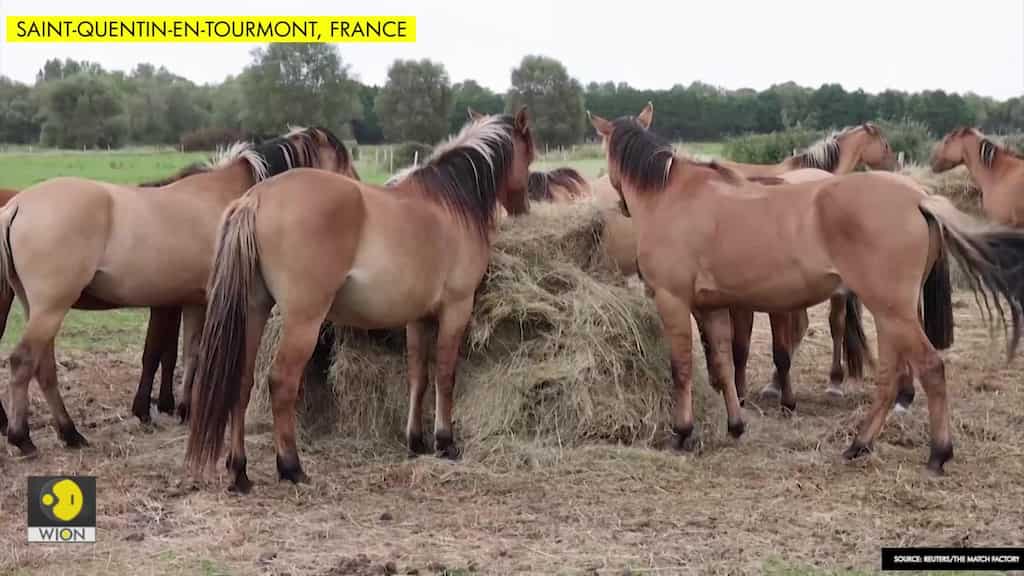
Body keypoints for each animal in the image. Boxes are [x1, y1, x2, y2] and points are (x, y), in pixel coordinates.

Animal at [0, 127, 357, 457]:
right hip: (50, 308)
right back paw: (22, 437)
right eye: (342, 161)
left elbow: (191, 352)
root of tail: (17, 204)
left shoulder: (194, 301)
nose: (361, 194)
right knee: (22, 362)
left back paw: (70, 432)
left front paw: (185, 408)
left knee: (43, 368)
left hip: (38, 309)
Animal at [184, 108, 535, 493]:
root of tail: (256, 197)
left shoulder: (418, 318)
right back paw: (291, 467)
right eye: (529, 155)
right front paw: (445, 442)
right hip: (303, 320)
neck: (447, 204)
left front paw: (416, 441)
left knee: (242, 383)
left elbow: (418, 376)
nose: (524, 208)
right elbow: (445, 375)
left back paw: (240, 471)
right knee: (281, 382)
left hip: (254, 311)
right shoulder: (456, 308)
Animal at [589, 103, 1024, 474]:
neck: (673, 195)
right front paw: (735, 424)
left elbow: (681, 369)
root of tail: (919, 198)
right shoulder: (711, 307)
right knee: (889, 377)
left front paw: (681, 433)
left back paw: (937, 453)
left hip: (892, 310)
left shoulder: (673, 301)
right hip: (889, 313)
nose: (620, 204)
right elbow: (724, 365)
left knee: (931, 368)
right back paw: (859, 444)